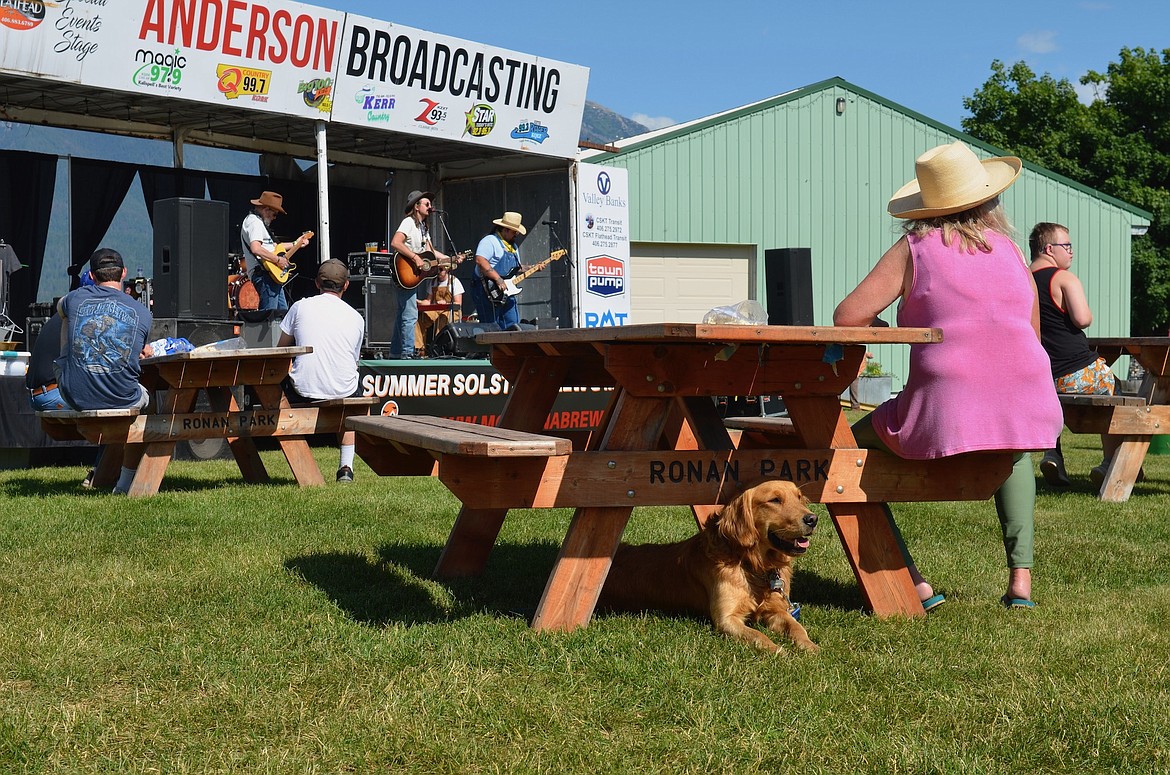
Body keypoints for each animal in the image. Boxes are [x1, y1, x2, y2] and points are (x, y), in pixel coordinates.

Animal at [599, 479, 819, 655]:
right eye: (774, 500)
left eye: (799, 497)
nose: (812, 519)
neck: (752, 564)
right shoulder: (727, 619)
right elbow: (757, 635)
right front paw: (778, 650)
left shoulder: (776, 609)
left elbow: (796, 626)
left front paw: (810, 646)